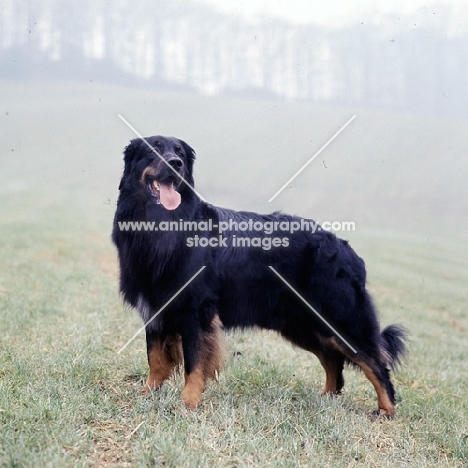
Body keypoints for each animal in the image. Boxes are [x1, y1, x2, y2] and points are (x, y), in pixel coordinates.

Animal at [112, 135, 406, 416]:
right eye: (153, 149)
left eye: (180, 153)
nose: (176, 164)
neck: (164, 224)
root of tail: (347, 249)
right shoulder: (155, 309)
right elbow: (155, 358)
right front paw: (148, 393)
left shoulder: (196, 312)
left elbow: (194, 362)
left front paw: (188, 402)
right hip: (303, 325)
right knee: (332, 359)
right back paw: (327, 397)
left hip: (340, 320)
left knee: (375, 364)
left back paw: (387, 410)